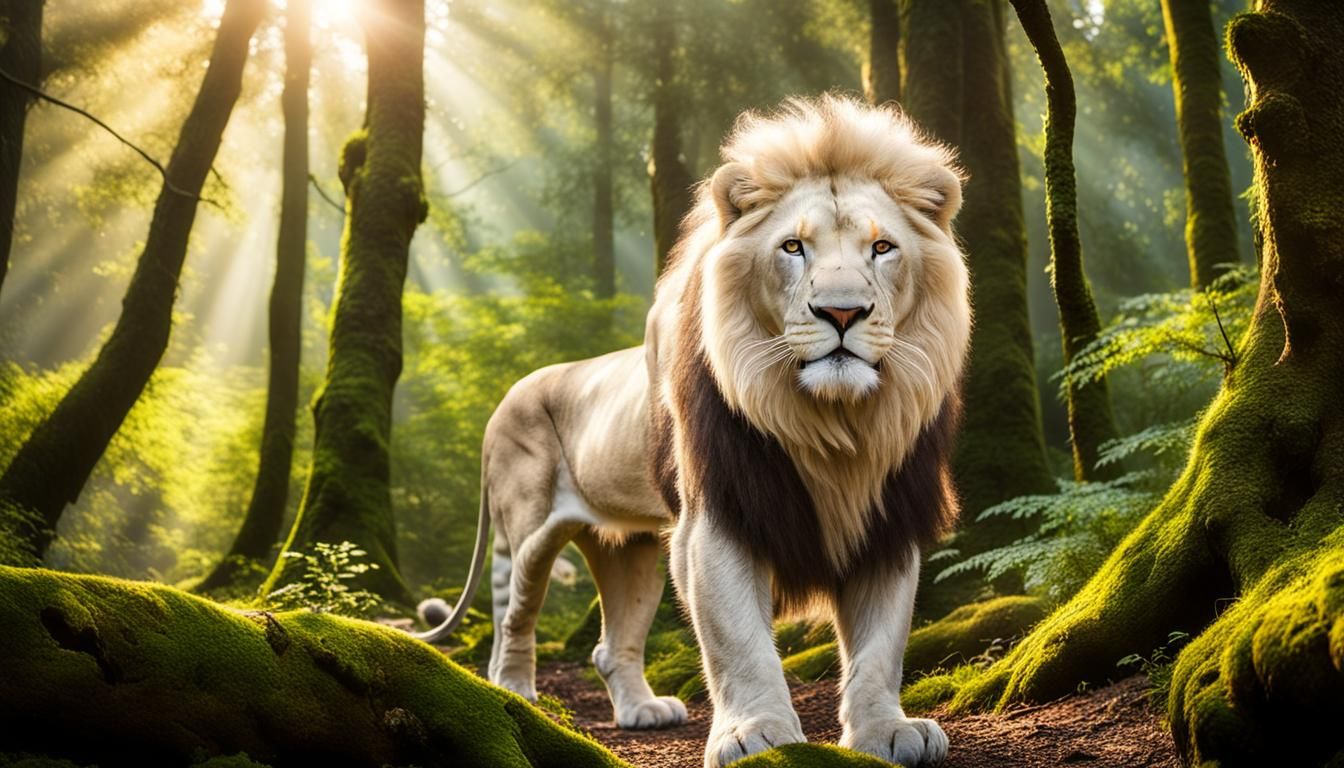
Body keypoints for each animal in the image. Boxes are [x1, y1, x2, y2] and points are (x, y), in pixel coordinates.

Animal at [415, 95, 971, 768]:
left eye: (883, 247)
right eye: (793, 247)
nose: (841, 312)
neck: (832, 425)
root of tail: (505, 399)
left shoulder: (890, 514)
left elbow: (882, 644)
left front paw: (886, 731)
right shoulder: (717, 513)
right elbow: (738, 639)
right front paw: (756, 734)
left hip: (629, 548)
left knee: (611, 644)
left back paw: (640, 711)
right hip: (529, 528)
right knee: (512, 617)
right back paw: (515, 695)